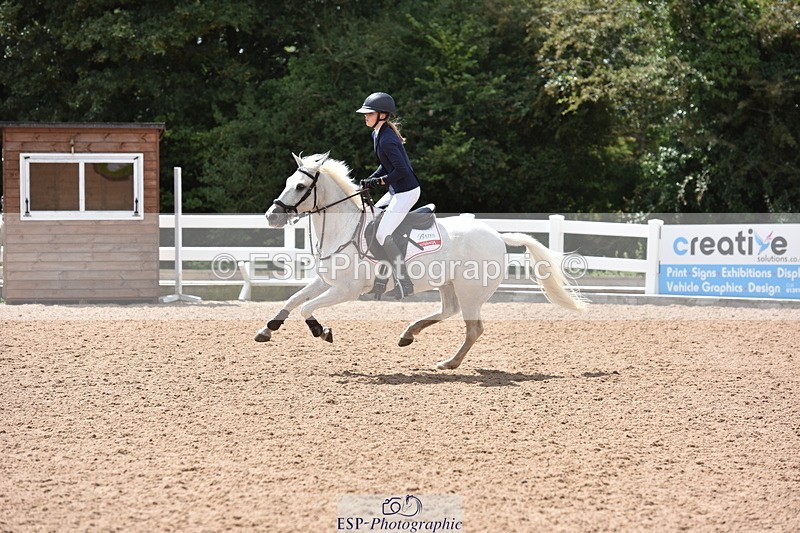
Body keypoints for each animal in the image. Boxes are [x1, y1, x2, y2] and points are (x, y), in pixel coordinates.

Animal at [258, 152, 587, 369]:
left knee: (473, 328)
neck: (343, 228)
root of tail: (496, 235)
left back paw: (449, 363)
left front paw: (321, 331)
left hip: (470, 291)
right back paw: (409, 334)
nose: (271, 216)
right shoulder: (326, 280)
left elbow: (307, 308)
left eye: (301, 187)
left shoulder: (346, 290)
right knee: (448, 311)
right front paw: (267, 329)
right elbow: (293, 299)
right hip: (448, 284)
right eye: (288, 181)